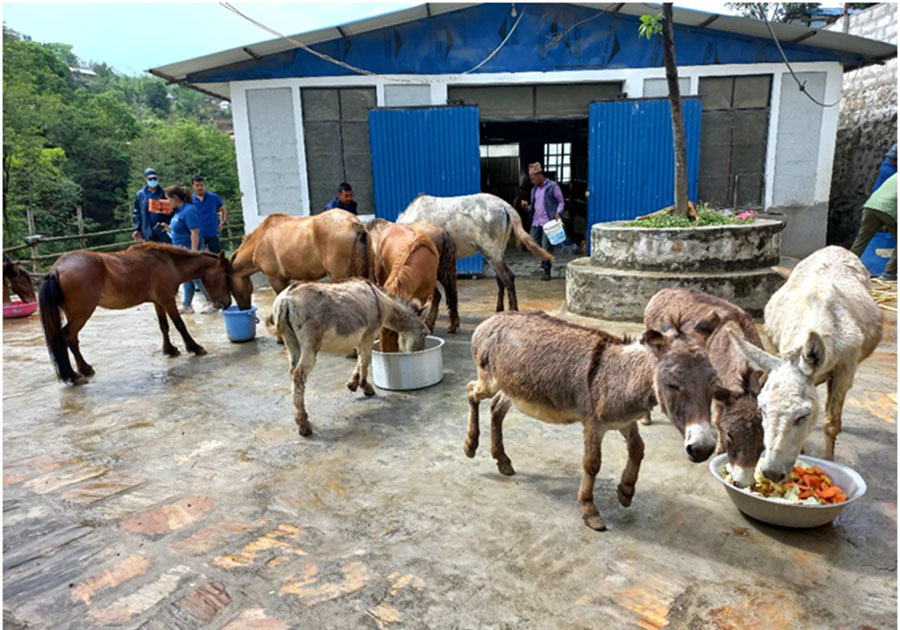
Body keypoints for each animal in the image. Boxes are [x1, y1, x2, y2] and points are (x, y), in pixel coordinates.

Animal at [40, 244, 234, 388]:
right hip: (82, 313)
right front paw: (195, 347)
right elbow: (180, 325)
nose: (226, 304)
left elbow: (164, 326)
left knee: (73, 340)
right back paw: (74, 376)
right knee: (65, 337)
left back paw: (84, 369)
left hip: (73, 313)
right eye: (225, 276)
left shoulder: (158, 302)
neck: (169, 262)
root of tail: (56, 269)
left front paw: (170, 349)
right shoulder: (168, 300)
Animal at [232, 212, 376, 312]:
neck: (260, 239)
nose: (243, 308)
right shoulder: (284, 279)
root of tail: (354, 223)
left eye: (231, 288)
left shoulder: (275, 278)